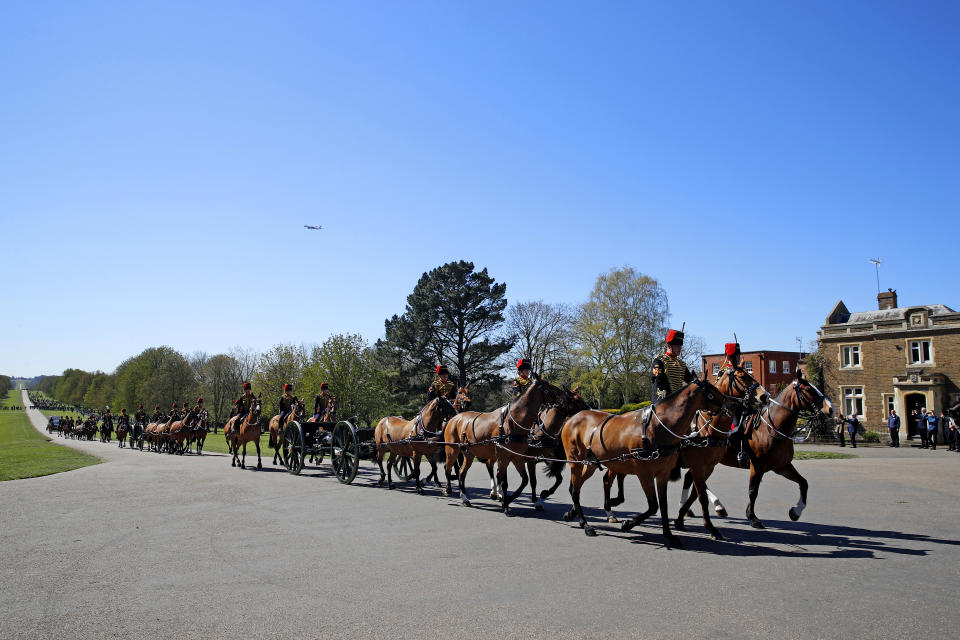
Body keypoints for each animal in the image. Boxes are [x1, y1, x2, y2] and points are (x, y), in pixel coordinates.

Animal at [444, 378, 568, 512]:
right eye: (549, 386)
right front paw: (505, 503)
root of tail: (455, 418)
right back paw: (450, 490)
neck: (513, 422)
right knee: (448, 468)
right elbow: (504, 481)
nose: (564, 397)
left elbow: (525, 480)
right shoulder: (504, 458)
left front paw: (507, 500)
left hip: (469, 454)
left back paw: (465, 498)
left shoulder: (517, 457)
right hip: (452, 450)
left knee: (462, 473)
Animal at [560, 378, 724, 548]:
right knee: (576, 490)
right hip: (576, 461)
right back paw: (585, 524)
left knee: (578, 487)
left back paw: (576, 514)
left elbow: (663, 505)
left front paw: (669, 535)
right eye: (712, 393)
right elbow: (653, 506)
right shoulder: (645, 474)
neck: (657, 427)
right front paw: (628, 524)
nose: (728, 406)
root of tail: (573, 418)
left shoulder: (664, 473)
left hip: (591, 463)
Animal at [696, 370, 832, 528]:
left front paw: (796, 511)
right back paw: (716, 505)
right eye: (809, 389)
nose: (830, 408)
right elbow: (753, 491)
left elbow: (803, 483)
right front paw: (752, 517)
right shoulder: (757, 466)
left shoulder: (781, 466)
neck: (772, 429)